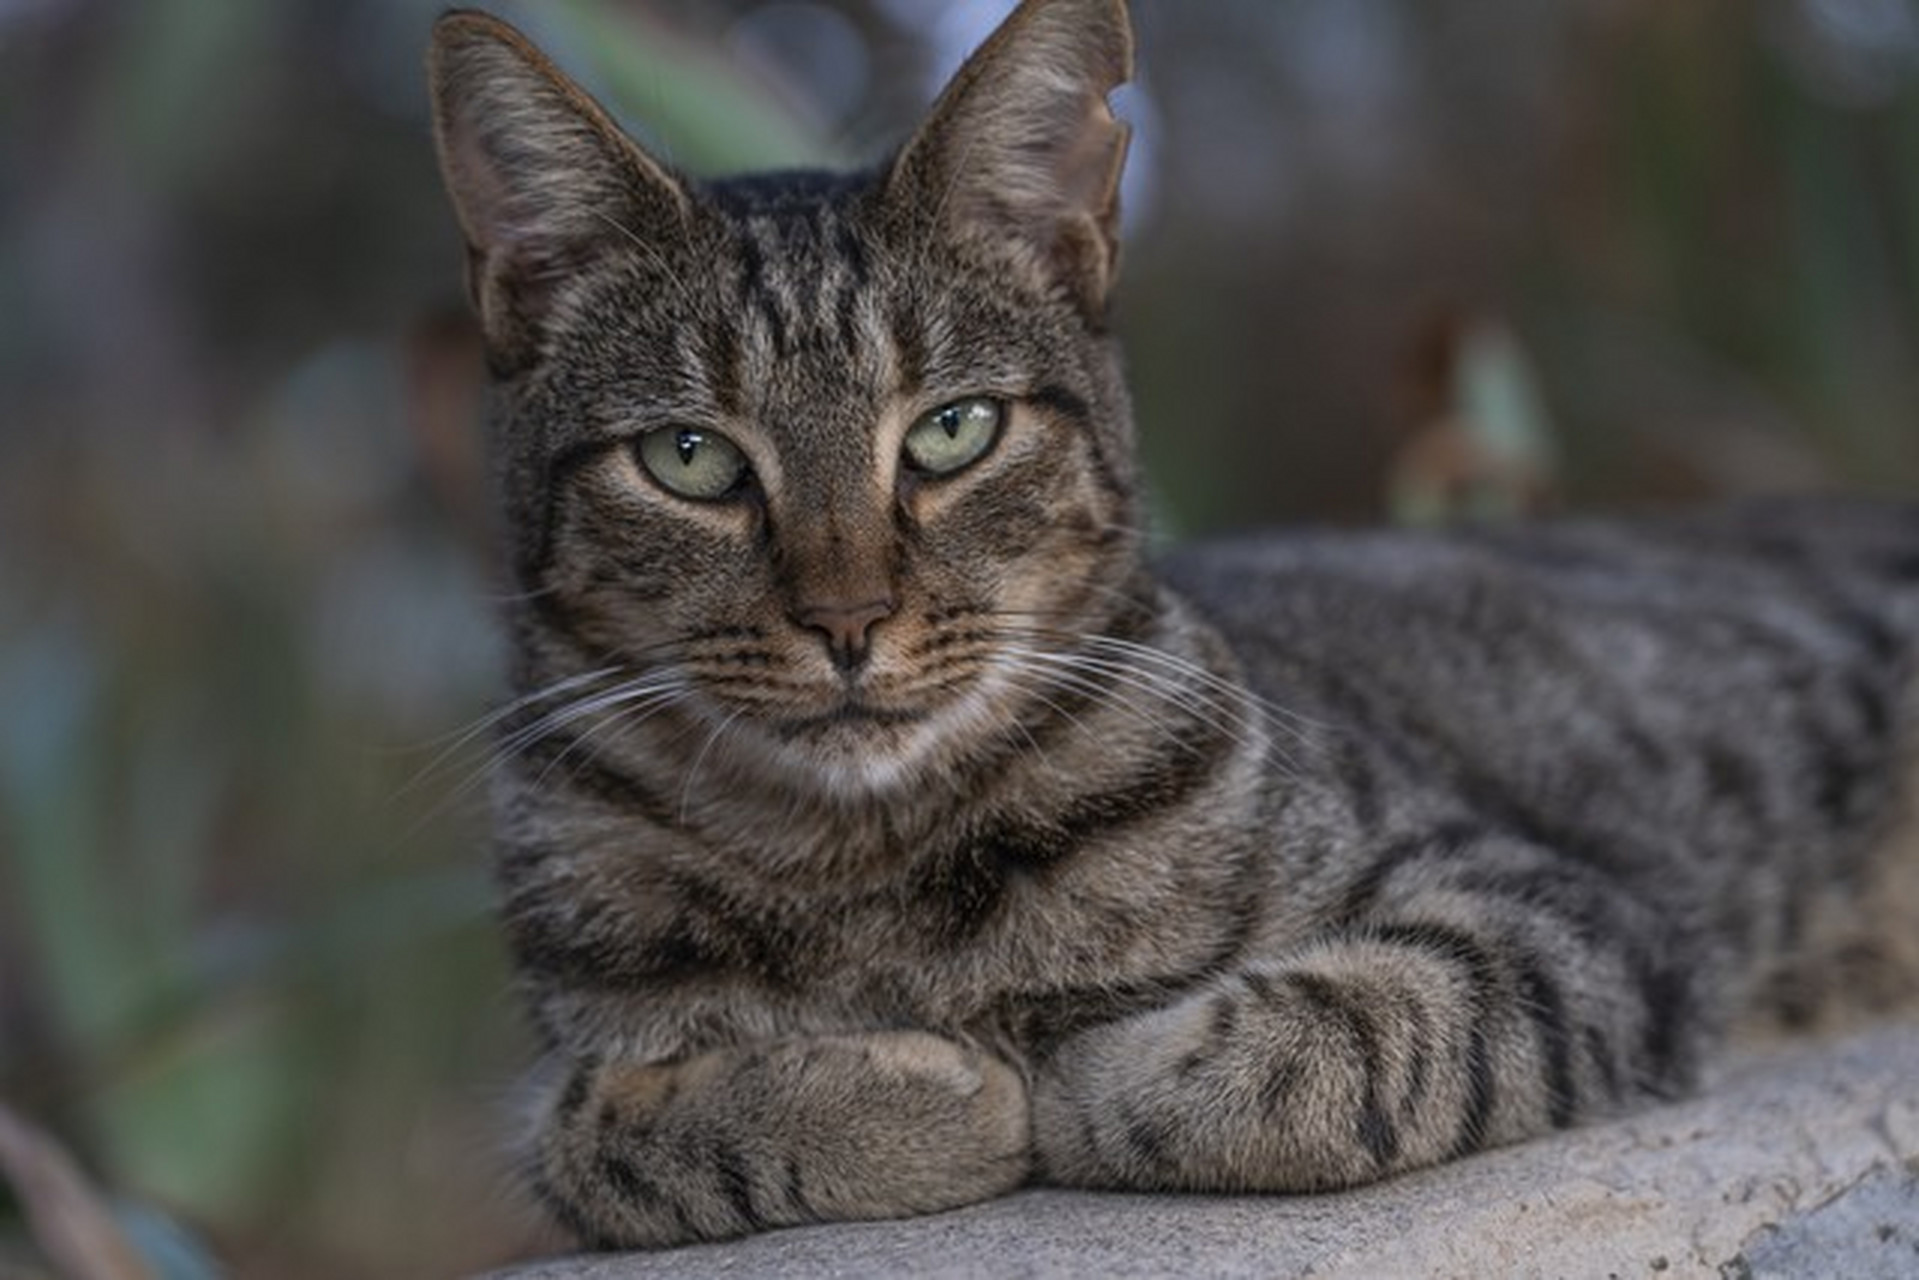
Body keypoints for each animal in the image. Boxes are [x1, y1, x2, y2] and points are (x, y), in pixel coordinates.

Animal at [431, 0, 1919, 1251]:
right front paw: (915, 1096)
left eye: (952, 431)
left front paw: (1076, 1073)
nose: (847, 619)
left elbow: (1341, 1038)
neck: (873, 871)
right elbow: (598, 1135)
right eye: (688, 459)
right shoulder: (563, 1083)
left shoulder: (1561, 913)